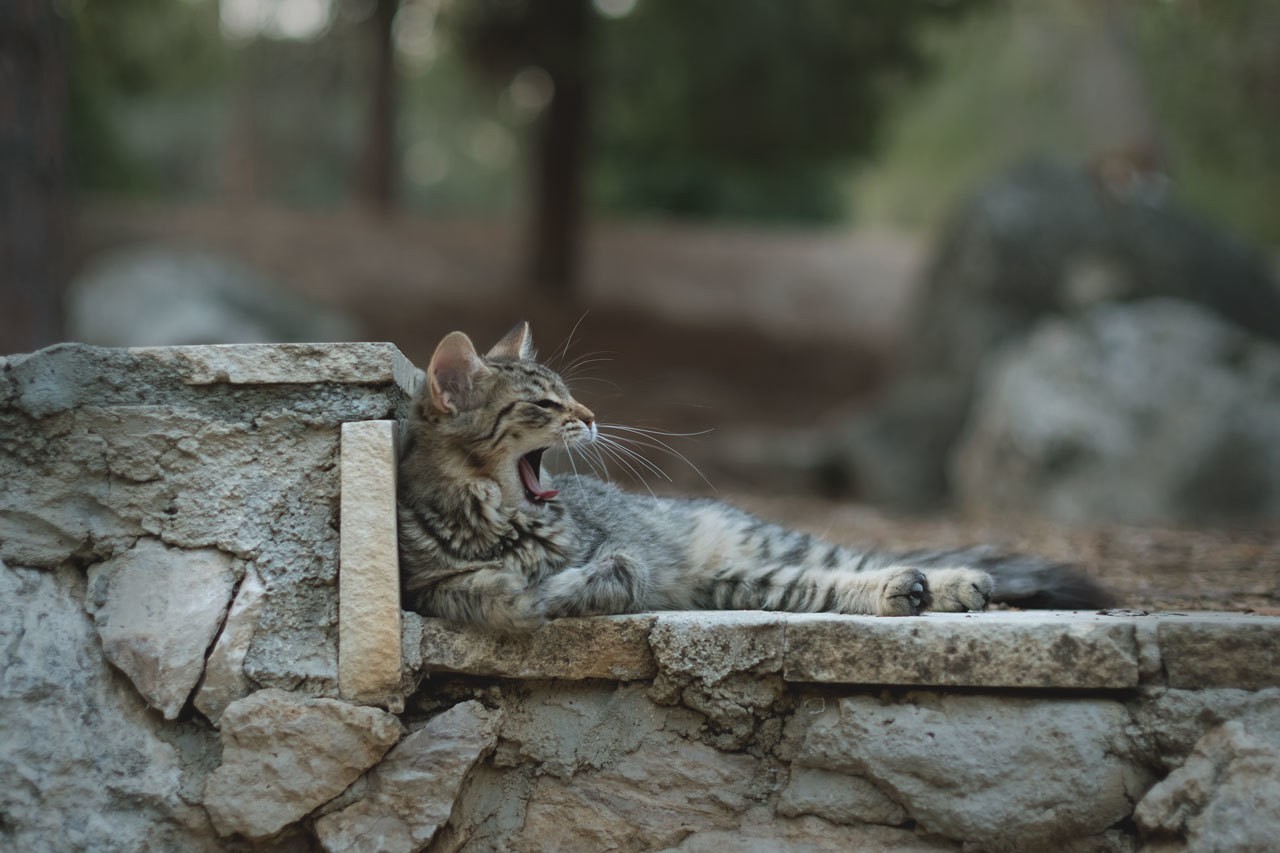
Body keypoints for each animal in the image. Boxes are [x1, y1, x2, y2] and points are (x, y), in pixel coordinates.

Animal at [396, 322, 1111, 627]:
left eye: (570, 396)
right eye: (545, 405)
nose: (593, 417)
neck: (499, 523)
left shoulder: (627, 557)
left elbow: (606, 576)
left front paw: (562, 588)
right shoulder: (431, 587)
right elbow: (499, 593)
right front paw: (530, 593)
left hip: (771, 547)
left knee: (855, 562)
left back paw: (954, 583)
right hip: (737, 580)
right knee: (822, 587)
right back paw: (911, 592)